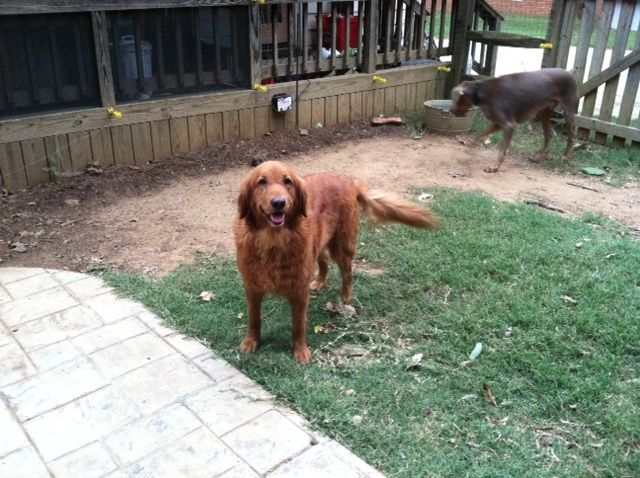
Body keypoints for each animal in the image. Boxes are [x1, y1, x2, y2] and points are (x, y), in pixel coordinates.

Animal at [235, 160, 440, 362]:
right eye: (262, 182)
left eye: (288, 182)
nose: (279, 203)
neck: (272, 240)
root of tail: (349, 181)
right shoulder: (252, 287)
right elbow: (254, 319)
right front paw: (251, 342)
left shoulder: (299, 291)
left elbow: (298, 326)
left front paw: (300, 351)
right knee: (324, 259)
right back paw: (319, 282)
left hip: (343, 247)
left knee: (347, 274)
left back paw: (346, 296)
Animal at [450, 67, 580, 172]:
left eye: (454, 99)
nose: (451, 111)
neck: (480, 91)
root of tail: (570, 72)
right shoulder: (497, 124)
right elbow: (478, 135)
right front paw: (470, 146)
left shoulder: (509, 125)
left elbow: (502, 151)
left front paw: (494, 167)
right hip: (544, 112)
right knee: (549, 135)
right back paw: (538, 157)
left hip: (568, 111)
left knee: (572, 137)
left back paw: (566, 156)